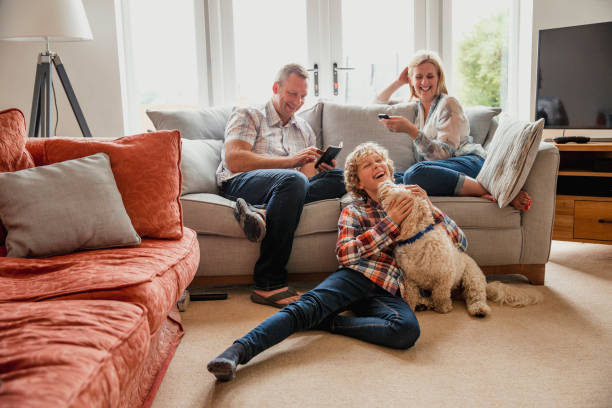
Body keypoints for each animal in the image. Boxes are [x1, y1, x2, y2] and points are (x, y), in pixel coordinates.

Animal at [378, 180, 540, 318]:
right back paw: (424, 303)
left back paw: (478, 309)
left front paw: (443, 308)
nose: (383, 184)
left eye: (398, 189)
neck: (417, 237)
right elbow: (412, 295)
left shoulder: (445, 276)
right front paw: (411, 306)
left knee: (476, 296)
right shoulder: (409, 278)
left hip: (472, 278)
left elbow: (441, 294)